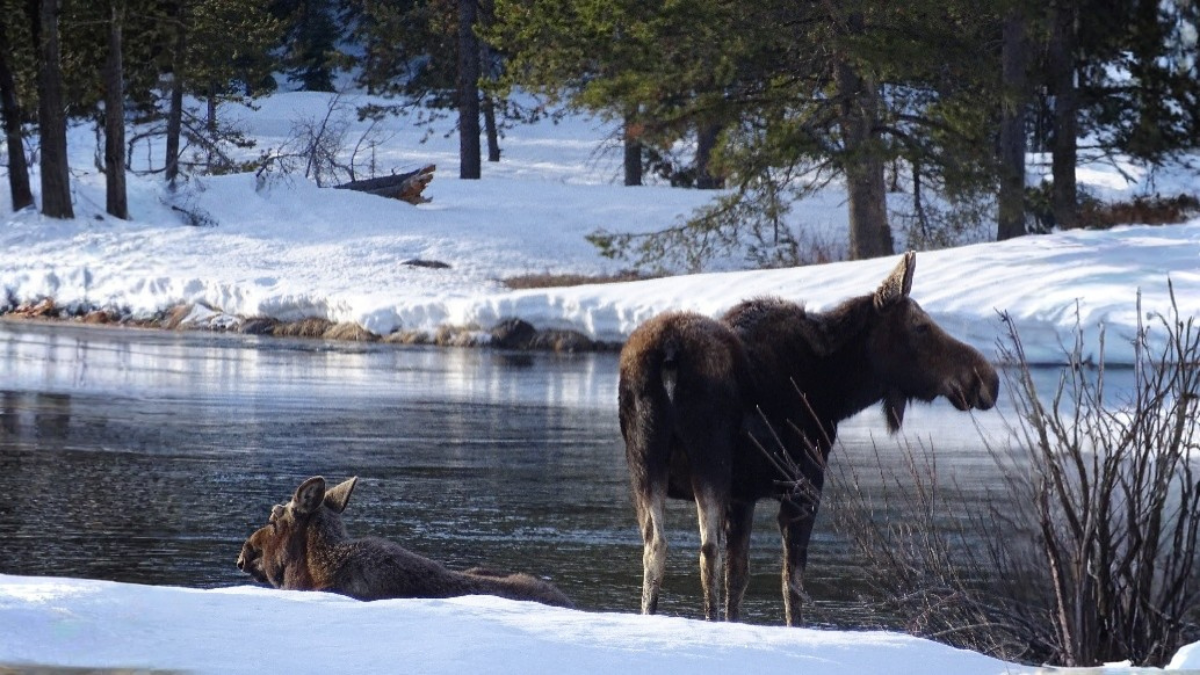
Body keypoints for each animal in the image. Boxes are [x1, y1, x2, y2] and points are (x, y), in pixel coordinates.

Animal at [618, 251, 999, 626]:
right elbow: (792, 585)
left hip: (645, 464)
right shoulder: (804, 487)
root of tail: (668, 353)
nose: (988, 379)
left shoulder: (742, 497)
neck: (835, 390)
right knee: (707, 550)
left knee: (656, 545)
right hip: (710, 461)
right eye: (921, 326)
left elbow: (738, 578)